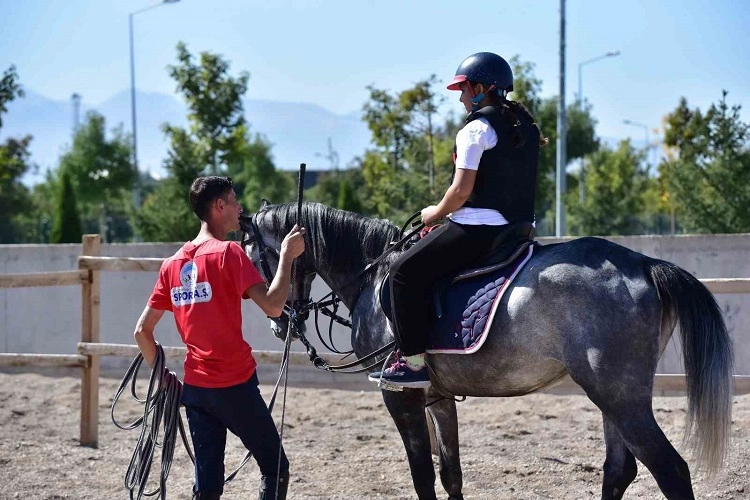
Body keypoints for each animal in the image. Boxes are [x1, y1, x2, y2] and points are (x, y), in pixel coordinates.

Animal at [245, 201, 736, 500]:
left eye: (255, 257)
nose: (278, 322)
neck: (375, 275)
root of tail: (646, 264)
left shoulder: (399, 397)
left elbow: (422, 475)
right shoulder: (437, 397)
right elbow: (450, 472)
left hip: (620, 397)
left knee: (671, 470)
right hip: (613, 399)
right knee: (619, 469)